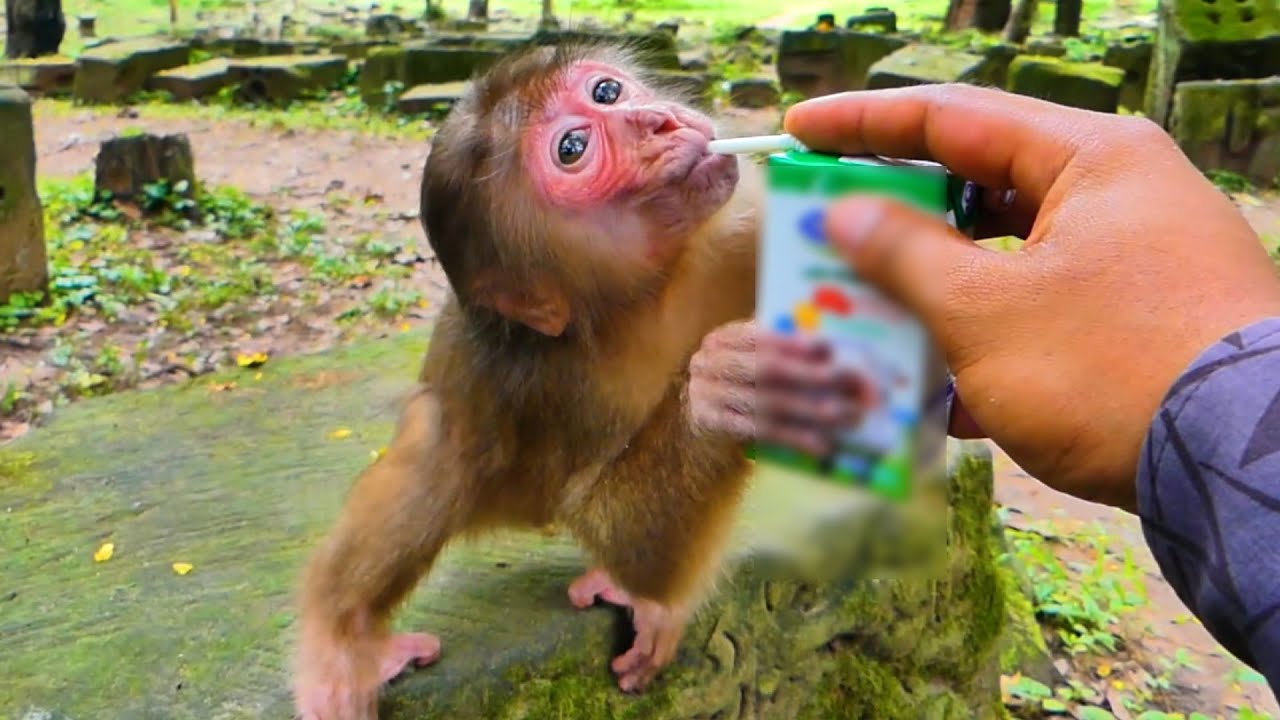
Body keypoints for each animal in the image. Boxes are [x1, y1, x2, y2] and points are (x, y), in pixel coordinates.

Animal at [291, 42, 768, 719]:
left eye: (605, 92)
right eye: (572, 149)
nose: (658, 121)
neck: (654, 293)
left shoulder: (746, 226)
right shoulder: (516, 367)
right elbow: (596, 516)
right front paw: (730, 391)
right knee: (441, 438)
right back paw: (344, 637)